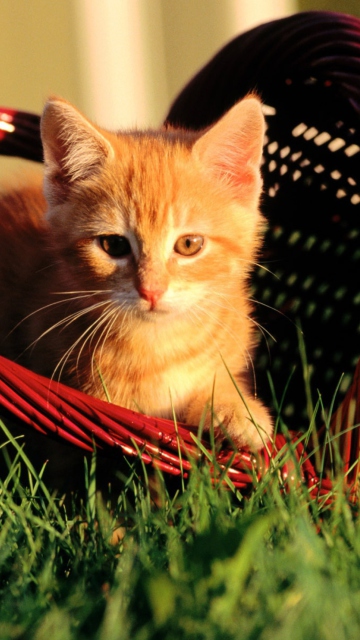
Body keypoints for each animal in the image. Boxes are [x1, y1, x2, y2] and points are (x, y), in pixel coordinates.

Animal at [0, 97, 272, 452]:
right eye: (114, 245)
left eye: (189, 244)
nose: (151, 290)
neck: (160, 346)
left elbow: (218, 383)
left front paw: (236, 410)